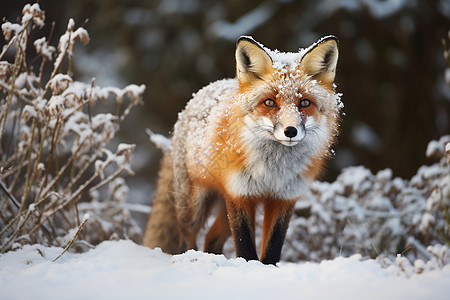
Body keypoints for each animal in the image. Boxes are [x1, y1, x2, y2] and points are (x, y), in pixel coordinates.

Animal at [143, 35, 342, 264]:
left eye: (305, 103)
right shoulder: (240, 193)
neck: (272, 172)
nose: (290, 131)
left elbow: (273, 247)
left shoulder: (284, 197)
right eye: (269, 102)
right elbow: (244, 244)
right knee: (187, 237)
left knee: (211, 238)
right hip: (195, 204)